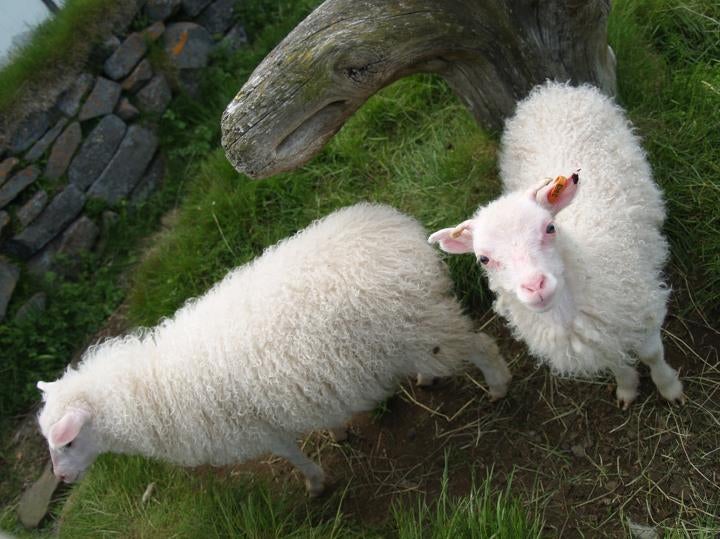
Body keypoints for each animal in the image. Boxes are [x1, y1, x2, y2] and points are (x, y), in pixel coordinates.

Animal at [36, 204, 512, 498]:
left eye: (69, 440)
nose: (62, 477)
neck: (153, 391)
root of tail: (401, 231)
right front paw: (338, 432)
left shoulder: (258, 430)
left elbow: (293, 456)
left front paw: (317, 484)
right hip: (411, 332)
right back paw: (426, 377)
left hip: (425, 324)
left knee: (480, 344)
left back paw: (498, 386)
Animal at [430, 81, 684, 410]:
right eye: (483, 259)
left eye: (550, 228)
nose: (535, 286)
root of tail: (552, 90)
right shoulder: (600, 339)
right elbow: (616, 363)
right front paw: (627, 389)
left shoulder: (642, 311)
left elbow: (653, 355)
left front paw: (670, 388)